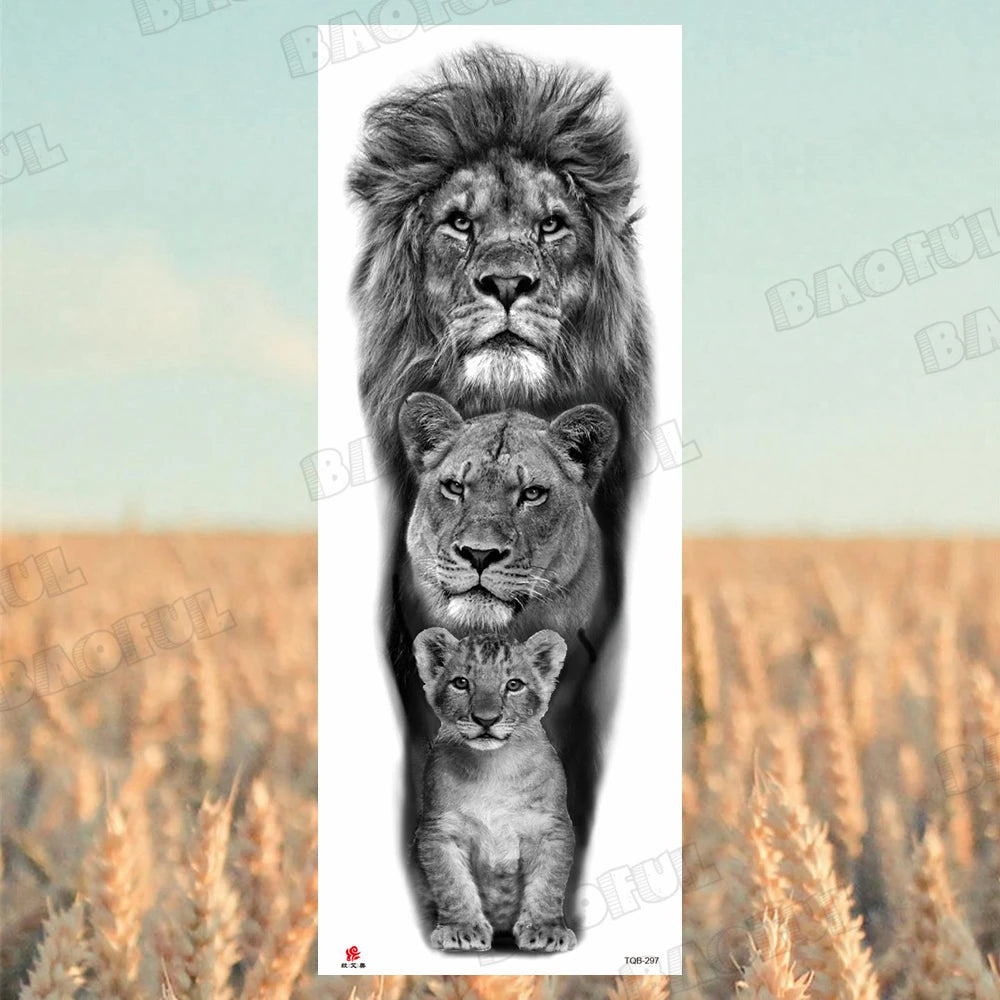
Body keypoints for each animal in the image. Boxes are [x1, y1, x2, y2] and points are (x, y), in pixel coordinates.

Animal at [413, 627, 577, 953]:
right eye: (461, 682)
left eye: (514, 685)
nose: (486, 720)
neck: (493, 767)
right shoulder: (440, 831)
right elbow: (452, 885)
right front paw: (461, 930)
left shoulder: (551, 827)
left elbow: (548, 884)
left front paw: (546, 930)